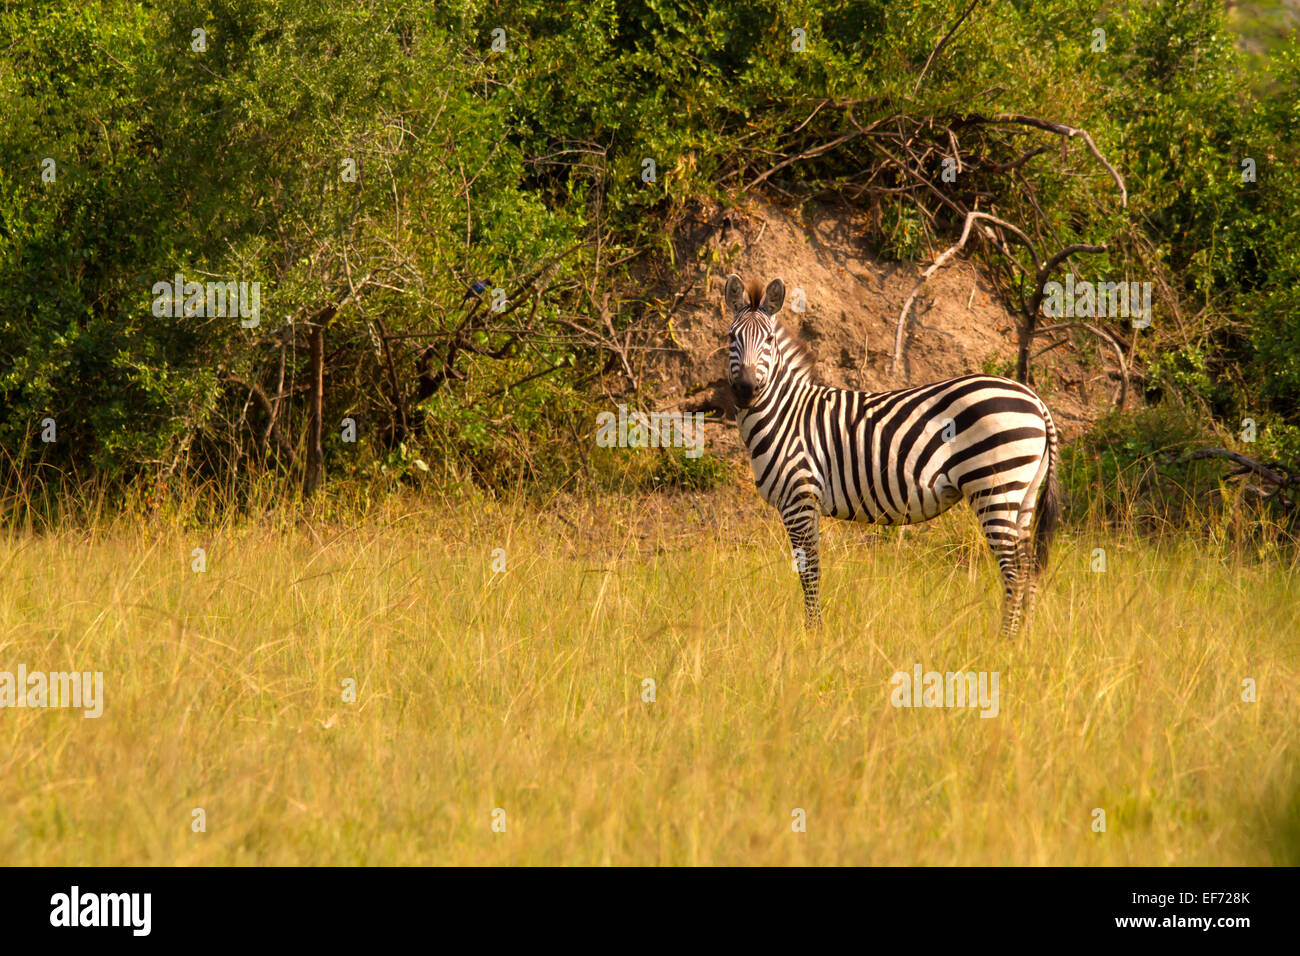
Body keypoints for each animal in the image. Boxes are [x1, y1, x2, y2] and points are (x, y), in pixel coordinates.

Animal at [724, 273, 1060, 636]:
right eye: (731, 336)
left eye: (769, 339)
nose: (745, 390)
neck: (786, 413)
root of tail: (1034, 399)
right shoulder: (804, 504)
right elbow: (811, 570)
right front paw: (815, 630)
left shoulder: (798, 500)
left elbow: (809, 572)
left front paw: (812, 633)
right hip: (1023, 494)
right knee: (1028, 567)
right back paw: (1024, 639)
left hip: (995, 488)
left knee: (1014, 571)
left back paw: (1004, 640)